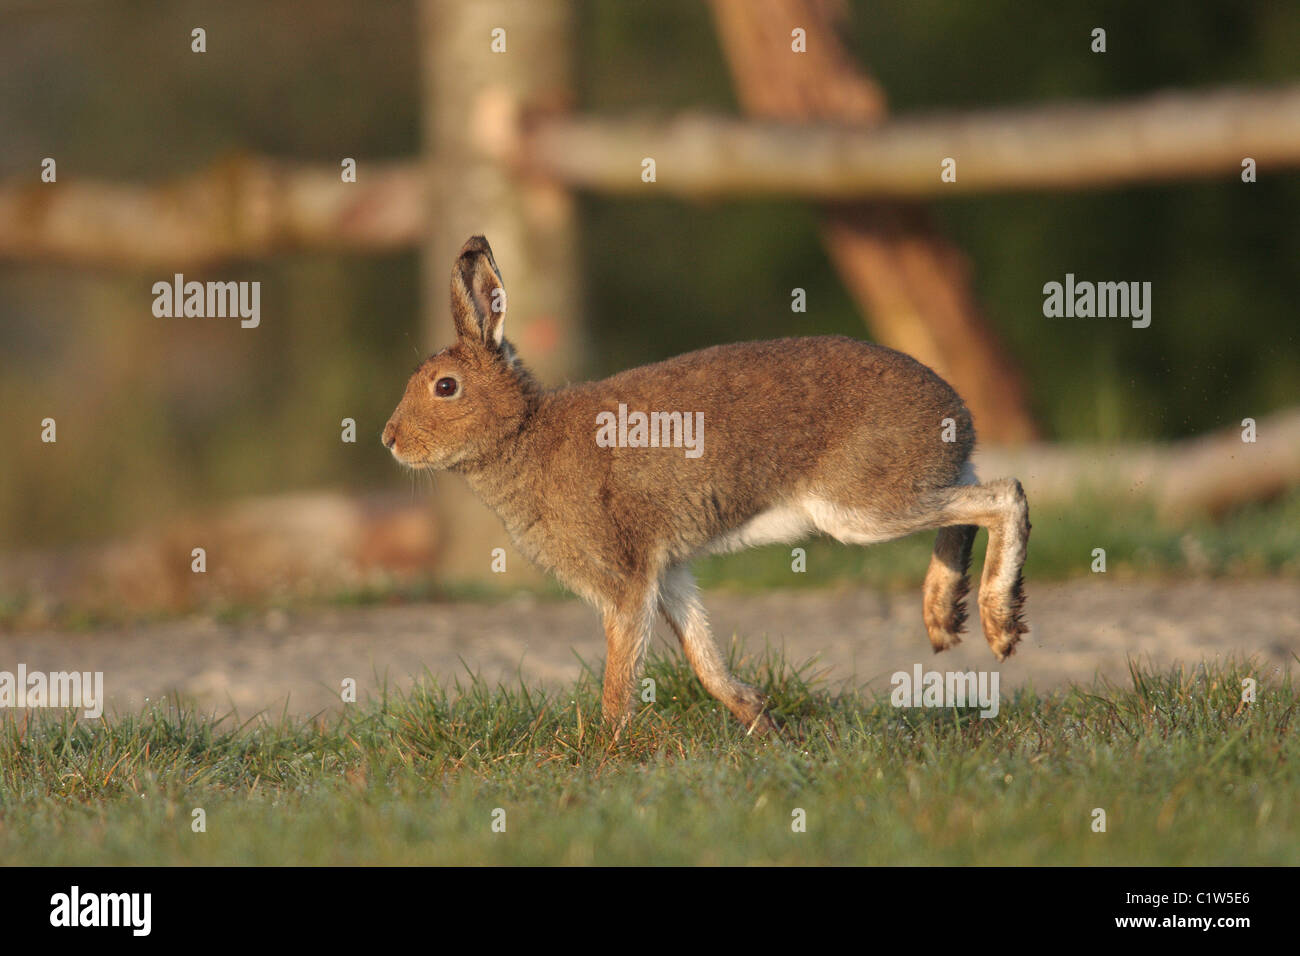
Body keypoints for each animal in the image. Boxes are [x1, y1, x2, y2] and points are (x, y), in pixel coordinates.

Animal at [382, 236, 1030, 735]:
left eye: (445, 387)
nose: (390, 439)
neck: (523, 432)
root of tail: (957, 415)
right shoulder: (665, 572)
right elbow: (704, 660)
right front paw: (764, 726)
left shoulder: (625, 579)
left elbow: (621, 673)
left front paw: (608, 748)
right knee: (969, 504)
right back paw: (943, 619)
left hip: (860, 507)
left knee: (1004, 497)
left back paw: (998, 628)